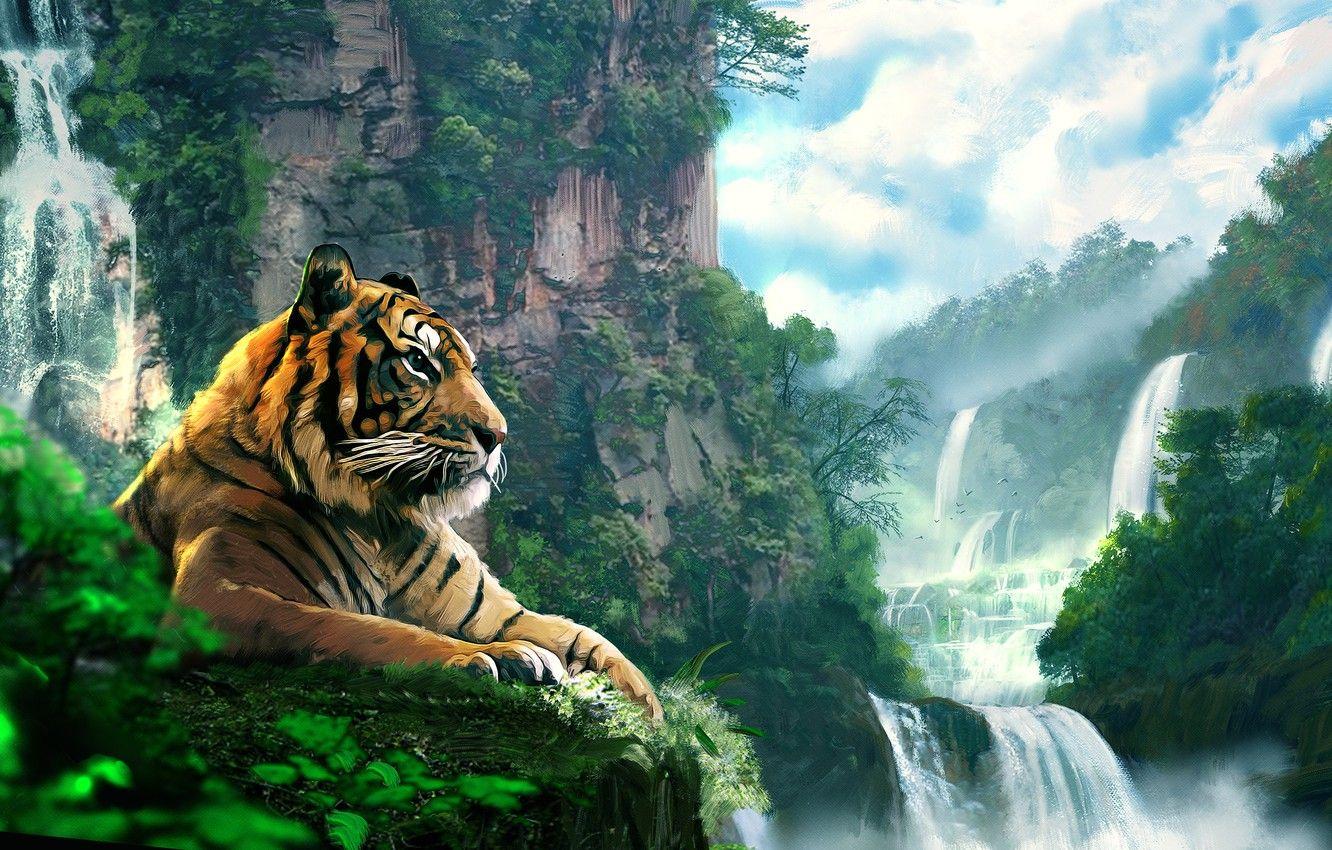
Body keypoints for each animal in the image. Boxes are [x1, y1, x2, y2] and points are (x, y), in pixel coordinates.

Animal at [114, 243, 661, 718]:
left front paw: (650, 711)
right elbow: (359, 628)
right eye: (418, 362)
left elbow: (587, 639)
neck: (380, 515)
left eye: (472, 367)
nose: (498, 434)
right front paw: (486, 658)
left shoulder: (491, 612)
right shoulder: (217, 596)